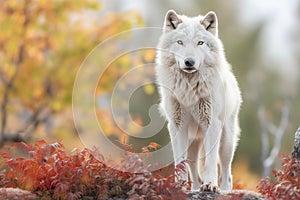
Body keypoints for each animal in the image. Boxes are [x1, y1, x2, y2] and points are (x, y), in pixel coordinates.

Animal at [155, 10, 241, 191]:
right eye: (180, 42)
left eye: (200, 43)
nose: (189, 62)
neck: (189, 89)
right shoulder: (177, 126)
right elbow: (179, 162)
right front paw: (178, 187)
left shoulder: (212, 124)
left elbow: (210, 162)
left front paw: (210, 185)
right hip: (192, 144)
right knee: (194, 174)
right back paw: (194, 189)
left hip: (226, 142)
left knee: (226, 173)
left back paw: (224, 190)